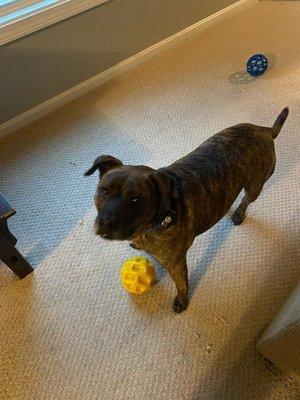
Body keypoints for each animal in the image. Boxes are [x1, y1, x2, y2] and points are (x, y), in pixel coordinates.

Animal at [84, 108, 288, 312]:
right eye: (104, 191)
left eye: (135, 200)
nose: (106, 224)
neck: (159, 219)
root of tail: (264, 130)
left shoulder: (176, 263)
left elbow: (182, 283)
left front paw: (182, 300)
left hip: (255, 186)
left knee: (246, 199)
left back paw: (238, 213)